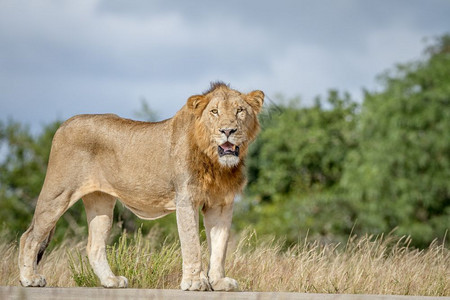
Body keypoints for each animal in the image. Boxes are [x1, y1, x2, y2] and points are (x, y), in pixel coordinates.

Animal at [18, 82, 264, 290]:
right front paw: (195, 282)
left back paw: (110, 281)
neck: (217, 163)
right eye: (214, 112)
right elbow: (192, 243)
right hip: (58, 193)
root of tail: (64, 124)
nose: (228, 131)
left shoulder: (221, 205)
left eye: (240, 111)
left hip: (101, 203)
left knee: (94, 246)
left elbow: (219, 247)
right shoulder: (186, 200)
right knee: (29, 236)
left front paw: (219, 281)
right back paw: (29, 279)